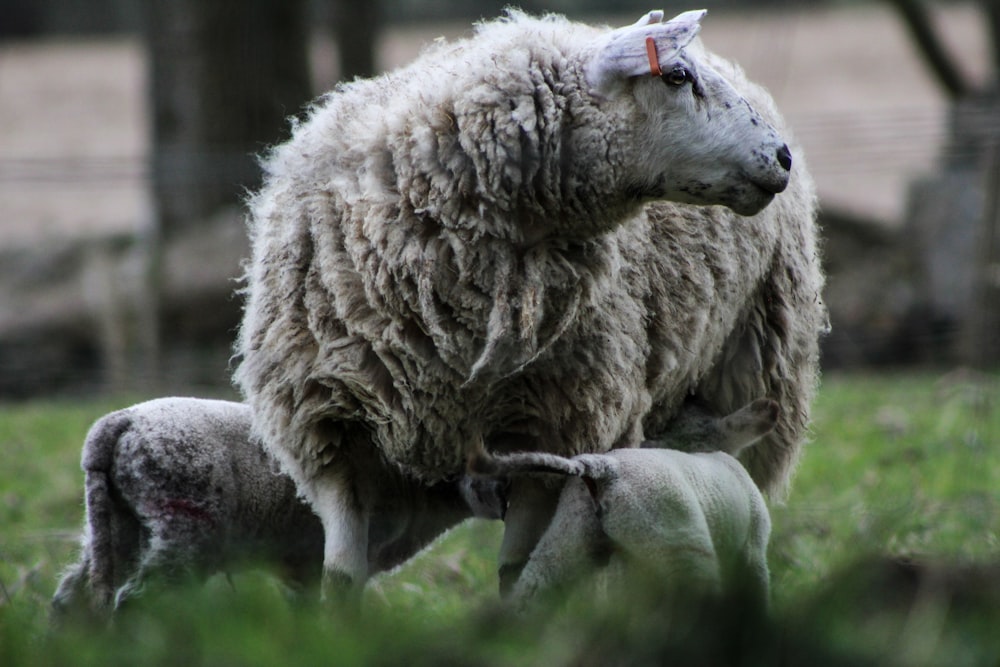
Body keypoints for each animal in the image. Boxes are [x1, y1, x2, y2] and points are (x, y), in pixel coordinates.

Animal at [50, 396, 504, 620]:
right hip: (184, 521)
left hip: (117, 521)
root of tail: (117, 425)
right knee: (135, 598)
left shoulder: (298, 563)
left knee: (72, 596)